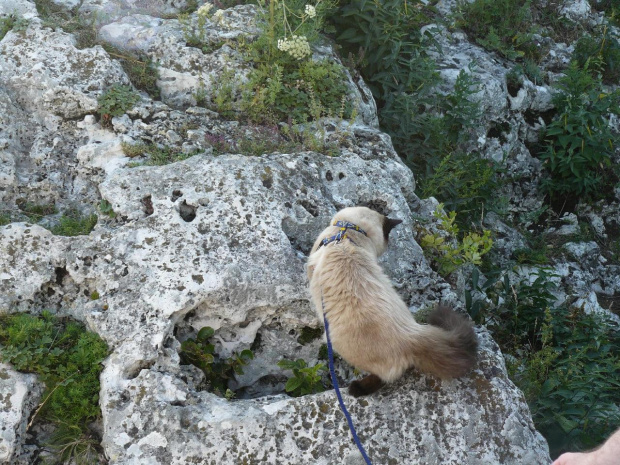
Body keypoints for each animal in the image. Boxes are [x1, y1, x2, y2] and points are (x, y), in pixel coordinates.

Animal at [308, 207, 478, 396]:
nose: (388, 247)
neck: (347, 233)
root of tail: (412, 335)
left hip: (340, 344)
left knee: (382, 378)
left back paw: (356, 389)